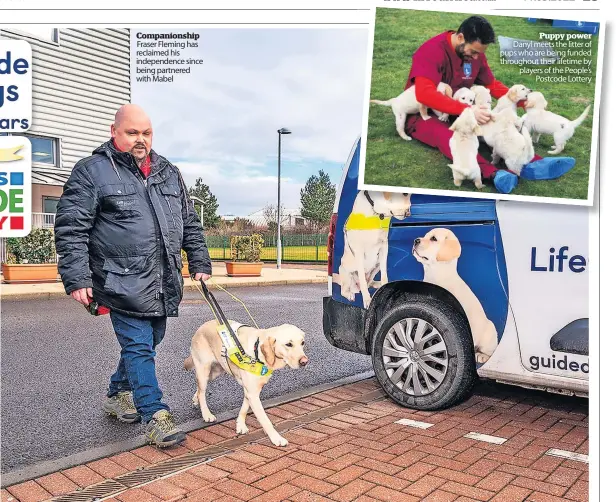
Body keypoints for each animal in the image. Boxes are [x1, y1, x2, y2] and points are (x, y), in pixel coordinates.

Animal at [410, 228, 500, 364]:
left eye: (433, 239)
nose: (416, 240)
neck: (436, 273)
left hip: (489, 333)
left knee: (490, 351)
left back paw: (482, 356)